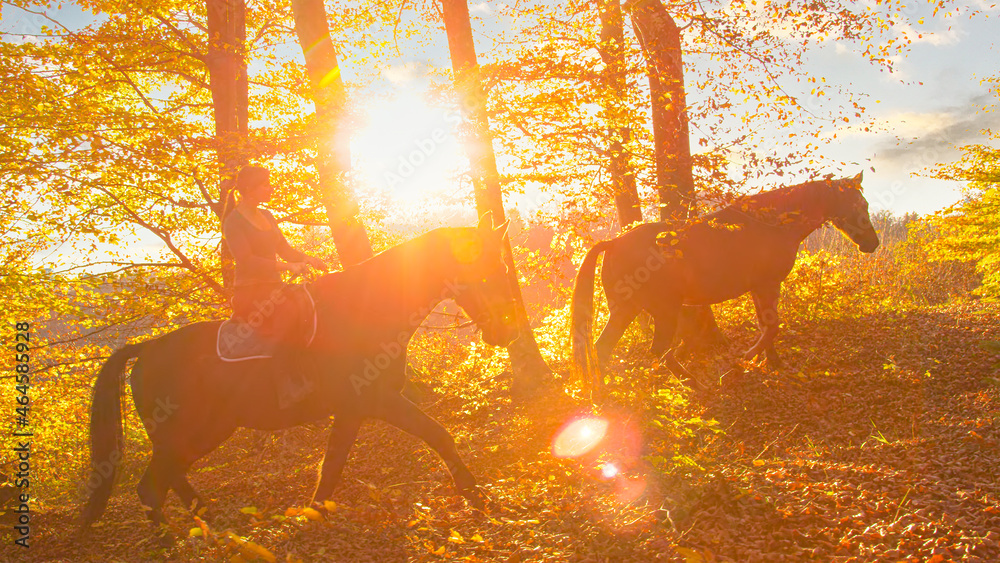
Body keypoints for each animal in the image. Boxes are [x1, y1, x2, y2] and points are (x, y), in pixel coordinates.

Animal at [576, 174, 880, 394]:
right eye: (860, 205)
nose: (872, 243)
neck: (770, 224)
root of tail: (613, 242)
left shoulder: (759, 288)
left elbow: (766, 326)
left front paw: (772, 362)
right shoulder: (768, 285)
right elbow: (772, 327)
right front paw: (741, 363)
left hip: (626, 310)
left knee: (603, 349)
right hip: (662, 312)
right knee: (657, 351)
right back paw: (695, 384)